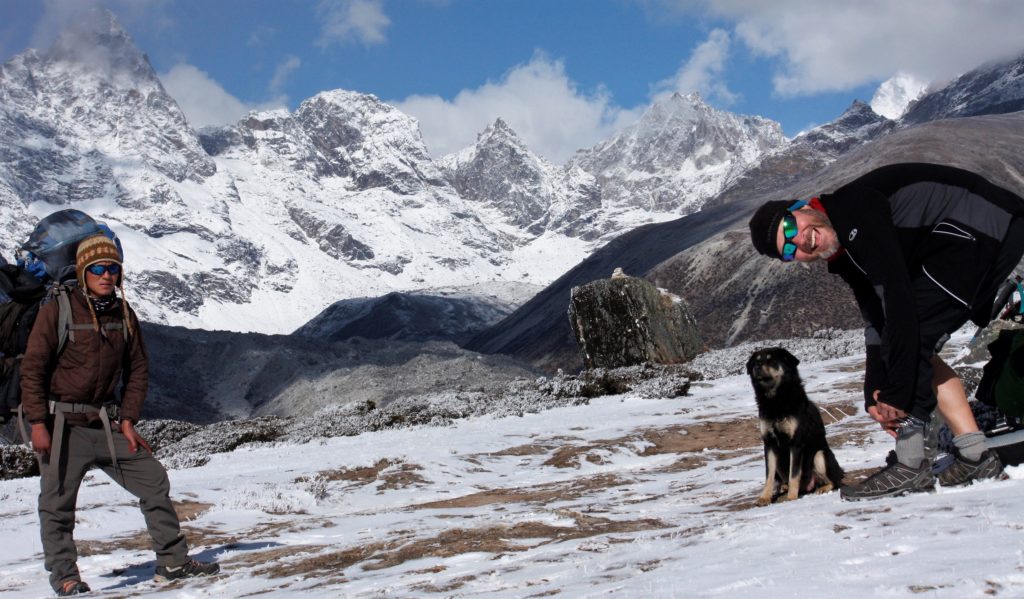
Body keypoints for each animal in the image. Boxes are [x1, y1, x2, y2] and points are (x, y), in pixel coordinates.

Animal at [749, 346, 843, 503]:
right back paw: (783, 487)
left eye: (771, 360)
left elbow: (794, 474)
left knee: (834, 481)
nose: (756, 367)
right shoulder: (769, 444)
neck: (775, 401)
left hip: (820, 455)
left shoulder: (796, 443)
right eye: (756, 361)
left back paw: (822, 488)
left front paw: (792, 497)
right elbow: (769, 475)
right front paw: (764, 497)